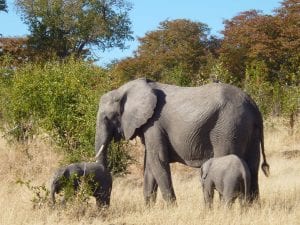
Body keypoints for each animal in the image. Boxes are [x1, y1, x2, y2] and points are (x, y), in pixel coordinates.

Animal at [94, 78, 270, 205]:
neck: (125, 89)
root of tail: (253, 106)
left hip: (228, 127)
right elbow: (149, 164)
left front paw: (171, 208)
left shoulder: (154, 124)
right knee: (252, 166)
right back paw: (252, 208)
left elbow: (158, 160)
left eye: (107, 118)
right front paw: (148, 209)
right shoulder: (149, 126)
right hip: (247, 130)